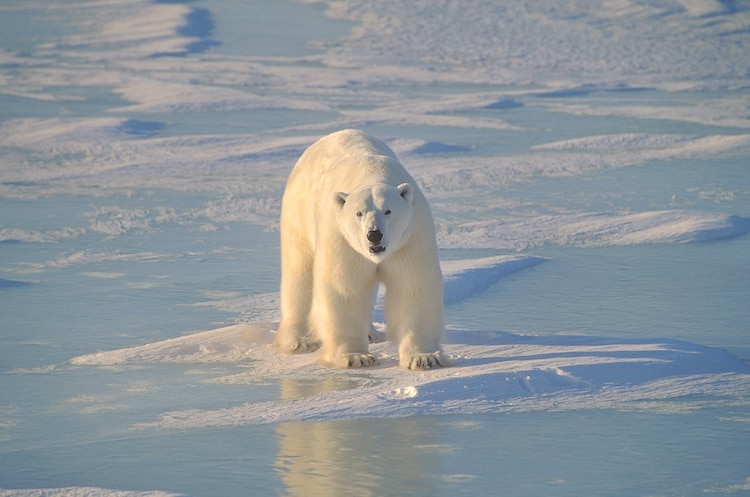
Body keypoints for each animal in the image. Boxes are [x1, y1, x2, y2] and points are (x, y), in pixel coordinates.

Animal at [274, 129, 446, 370]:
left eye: (388, 211)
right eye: (359, 213)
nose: (374, 234)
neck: (371, 174)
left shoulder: (410, 235)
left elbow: (412, 286)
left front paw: (422, 357)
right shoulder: (341, 237)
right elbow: (344, 287)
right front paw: (356, 357)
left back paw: (373, 333)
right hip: (297, 213)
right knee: (299, 272)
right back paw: (299, 340)